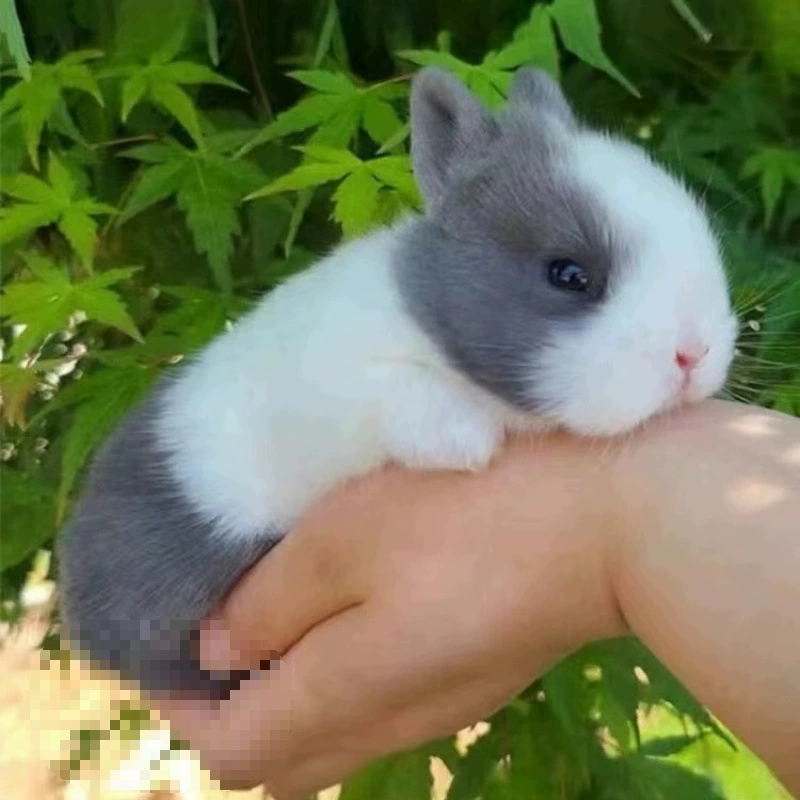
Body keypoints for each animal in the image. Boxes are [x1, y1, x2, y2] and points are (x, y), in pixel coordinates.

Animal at [57, 66, 738, 703]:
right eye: (569, 275)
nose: (694, 353)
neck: (426, 322)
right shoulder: (343, 387)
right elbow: (396, 393)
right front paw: (467, 443)